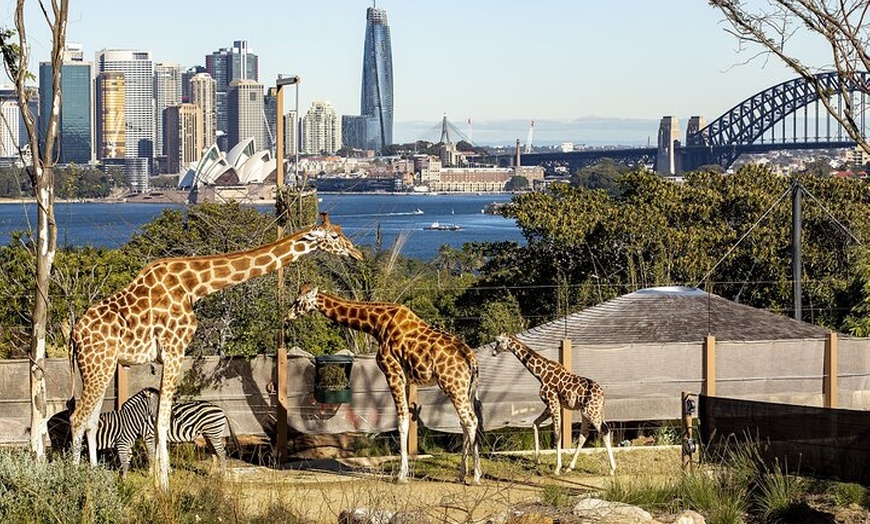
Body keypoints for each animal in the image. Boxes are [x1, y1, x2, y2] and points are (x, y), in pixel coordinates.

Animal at [69, 212, 364, 488]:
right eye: (335, 236)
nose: (357, 253)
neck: (194, 286)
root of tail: (74, 334)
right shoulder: (174, 349)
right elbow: (161, 420)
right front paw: (163, 485)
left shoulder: (169, 354)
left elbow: (159, 419)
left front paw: (161, 479)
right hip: (98, 365)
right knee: (77, 417)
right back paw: (75, 482)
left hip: (102, 367)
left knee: (91, 420)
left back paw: (93, 478)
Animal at [290, 284, 488, 486]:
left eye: (298, 301)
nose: (288, 316)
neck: (376, 324)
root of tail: (472, 360)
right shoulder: (406, 378)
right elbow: (406, 417)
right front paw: (405, 472)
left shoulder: (392, 372)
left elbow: (401, 421)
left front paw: (401, 475)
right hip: (463, 388)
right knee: (464, 422)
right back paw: (462, 474)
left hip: (453, 386)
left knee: (471, 420)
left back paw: (476, 477)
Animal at [494, 336, 616, 474]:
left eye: (499, 342)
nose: (493, 352)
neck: (540, 374)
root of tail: (602, 396)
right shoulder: (551, 405)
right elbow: (535, 423)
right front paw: (537, 461)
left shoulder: (553, 403)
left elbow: (557, 434)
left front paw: (557, 468)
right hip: (588, 411)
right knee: (584, 435)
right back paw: (569, 467)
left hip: (590, 411)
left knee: (604, 430)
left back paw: (612, 469)